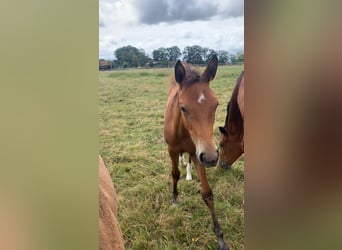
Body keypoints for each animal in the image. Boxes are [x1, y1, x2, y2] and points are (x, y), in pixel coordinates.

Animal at [164, 56, 228, 250]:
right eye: (183, 108)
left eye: (216, 105)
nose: (212, 158)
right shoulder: (172, 150)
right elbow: (174, 174)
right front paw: (175, 200)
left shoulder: (198, 152)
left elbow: (207, 193)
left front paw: (220, 238)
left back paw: (189, 173)